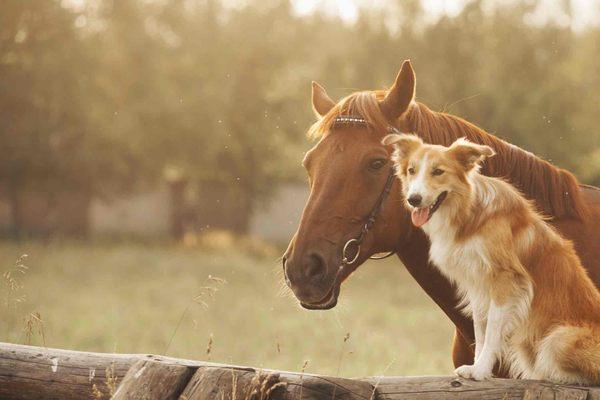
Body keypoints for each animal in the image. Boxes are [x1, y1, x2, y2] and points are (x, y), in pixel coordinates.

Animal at [382, 134, 600, 384]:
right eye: (411, 170)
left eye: (438, 171)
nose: (413, 199)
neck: (469, 213)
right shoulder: (478, 284)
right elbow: (480, 329)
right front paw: (476, 365)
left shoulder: (506, 282)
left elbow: (493, 329)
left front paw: (480, 370)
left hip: (558, 339)